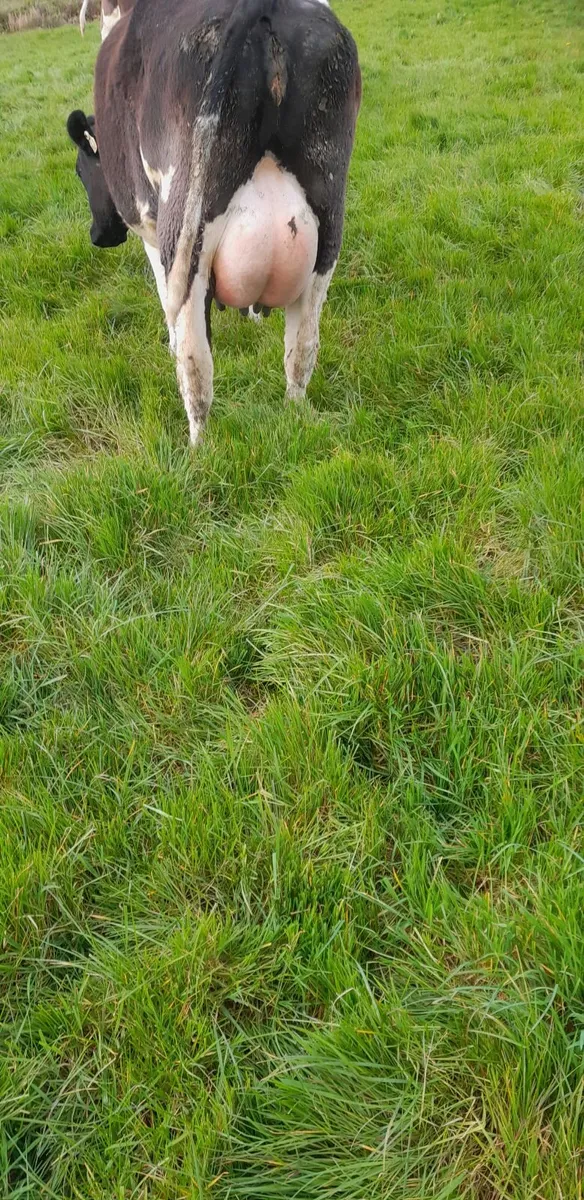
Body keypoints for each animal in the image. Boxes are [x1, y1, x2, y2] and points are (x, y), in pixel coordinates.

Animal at [67, 0, 361, 445]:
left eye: (81, 170)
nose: (97, 235)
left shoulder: (151, 230)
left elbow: (165, 302)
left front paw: (170, 343)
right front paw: (254, 317)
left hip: (184, 233)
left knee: (195, 365)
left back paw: (197, 446)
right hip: (327, 225)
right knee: (302, 349)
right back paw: (294, 414)